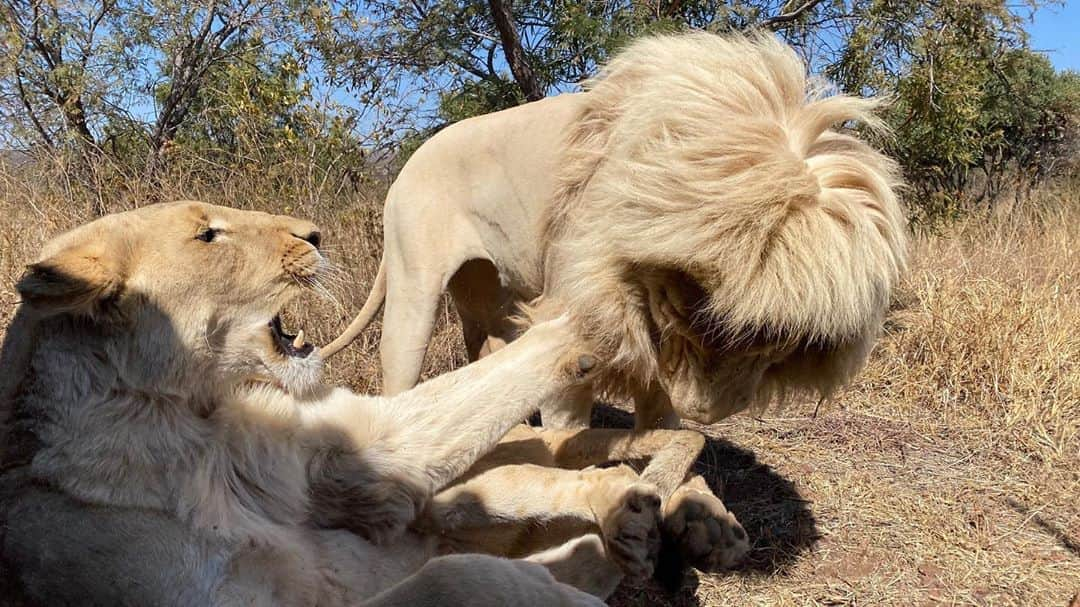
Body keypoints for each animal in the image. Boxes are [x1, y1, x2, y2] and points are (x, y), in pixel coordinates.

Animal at [0, 200, 743, 600]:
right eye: (207, 235)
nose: (314, 233)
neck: (183, 424)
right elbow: (455, 577)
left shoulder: (335, 462)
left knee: (552, 464)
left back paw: (683, 520)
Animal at [321, 33, 911, 427]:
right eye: (681, 311)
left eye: (773, 345)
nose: (704, 413)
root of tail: (408, 163)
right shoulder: (579, 315)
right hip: (414, 288)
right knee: (402, 365)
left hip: (487, 289)